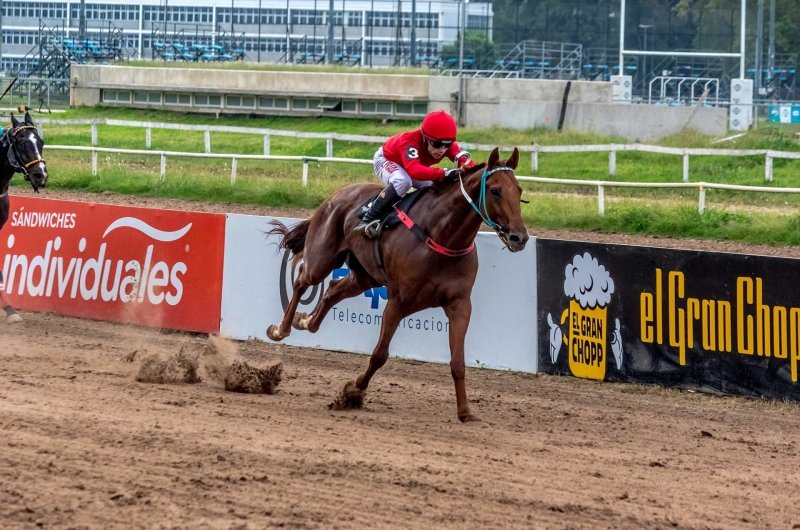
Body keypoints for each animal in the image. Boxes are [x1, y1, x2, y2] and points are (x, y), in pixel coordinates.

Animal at [268, 146, 528, 418]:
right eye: (495, 190)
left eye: (519, 190)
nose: (519, 237)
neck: (442, 237)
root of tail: (338, 193)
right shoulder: (398, 302)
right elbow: (379, 355)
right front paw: (353, 392)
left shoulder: (460, 304)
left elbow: (458, 362)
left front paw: (465, 411)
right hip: (321, 258)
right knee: (302, 281)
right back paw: (281, 329)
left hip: (365, 276)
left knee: (332, 290)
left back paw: (306, 321)